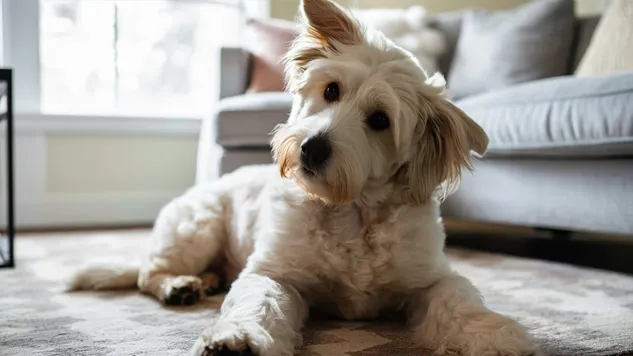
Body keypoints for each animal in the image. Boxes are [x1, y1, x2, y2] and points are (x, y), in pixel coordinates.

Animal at [69, 0, 540, 356]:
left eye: (380, 120)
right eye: (331, 90)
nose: (311, 148)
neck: (350, 209)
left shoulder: (429, 277)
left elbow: (457, 298)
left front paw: (492, 334)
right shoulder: (275, 273)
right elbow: (261, 302)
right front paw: (238, 338)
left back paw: (205, 282)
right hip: (195, 229)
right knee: (149, 272)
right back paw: (180, 284)